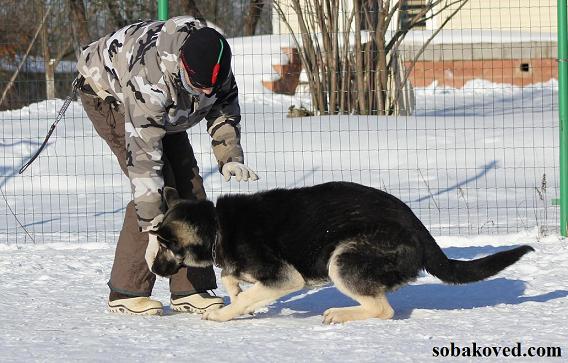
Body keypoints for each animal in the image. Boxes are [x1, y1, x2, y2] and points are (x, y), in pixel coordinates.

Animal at [144, 182, 536, 324]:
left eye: (163, 246)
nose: (157, 271)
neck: (216, 227)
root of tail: (418, 227)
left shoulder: (286, 277)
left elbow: (243, 294)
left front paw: (225, 313)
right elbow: (233, 281)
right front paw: (238, 294)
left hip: (342, 261)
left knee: (382, 310)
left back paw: (339, 314)